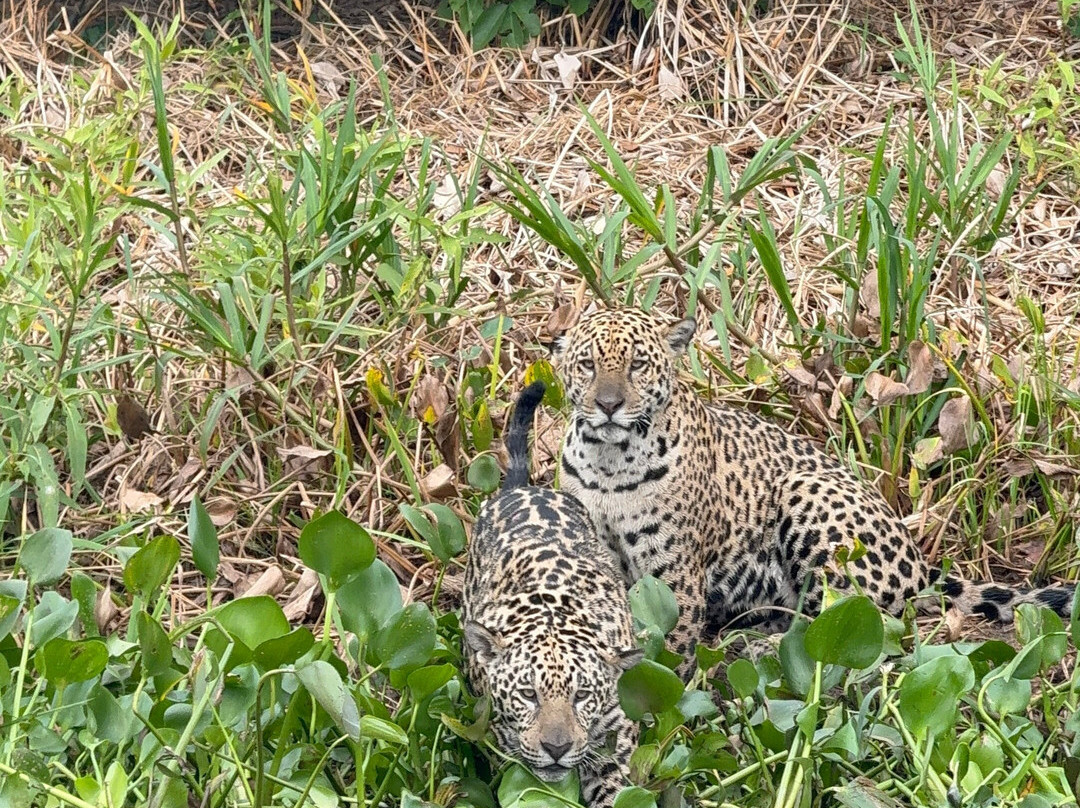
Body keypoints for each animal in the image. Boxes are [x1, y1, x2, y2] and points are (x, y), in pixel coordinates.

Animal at [462, 381, 643, 808]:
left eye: (582, 696)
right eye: (528, 695)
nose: (556, 748)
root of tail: (523, 488)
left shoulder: (614, 742)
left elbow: (615, 788)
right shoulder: (501, 746)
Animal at [552, 307, 1076, 679]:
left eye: (638, 365)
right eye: (587, 365)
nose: (609, 404)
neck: (609, 463)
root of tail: (920, 563)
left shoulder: (673, 574)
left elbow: (671, 649)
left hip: (806, 495)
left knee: (856, 624)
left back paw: (756, 648)